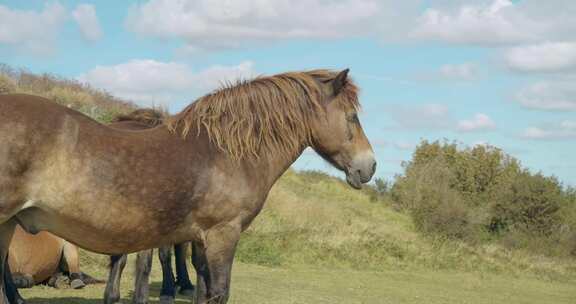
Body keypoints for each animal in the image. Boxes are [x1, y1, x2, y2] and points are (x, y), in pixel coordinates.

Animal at [0, 69, 376, 304]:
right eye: (352, 117)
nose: (369, 166)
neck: (226, 152)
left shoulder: (199, 240)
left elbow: (202, 291)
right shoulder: (223, 235)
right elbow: (219, 291)